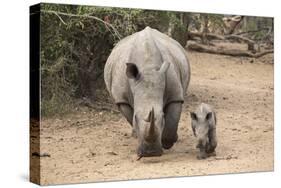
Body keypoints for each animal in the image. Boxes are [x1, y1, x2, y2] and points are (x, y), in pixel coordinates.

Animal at [104, 25, 189, 156]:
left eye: (162, 117)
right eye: (136, 117)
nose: (151, 153)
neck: (147, 67)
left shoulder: (175, 95)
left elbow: (172, 119)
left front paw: (167, 143)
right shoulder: (121, 99)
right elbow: (130, 117)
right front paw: (137, 135)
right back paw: (134, 135)